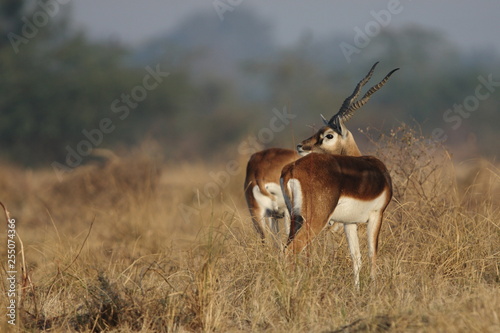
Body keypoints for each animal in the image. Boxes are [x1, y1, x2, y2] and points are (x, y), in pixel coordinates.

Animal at [282, 62, 398, 288]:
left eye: (328, 135)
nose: (301, 146)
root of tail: (293, 168)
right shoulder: (377, 215)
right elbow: (372, 254)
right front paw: (374, 288)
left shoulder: (348, 223)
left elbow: (356, 257)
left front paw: (357, 289)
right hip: (314, 220)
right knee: (292, 251)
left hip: (295, 219)